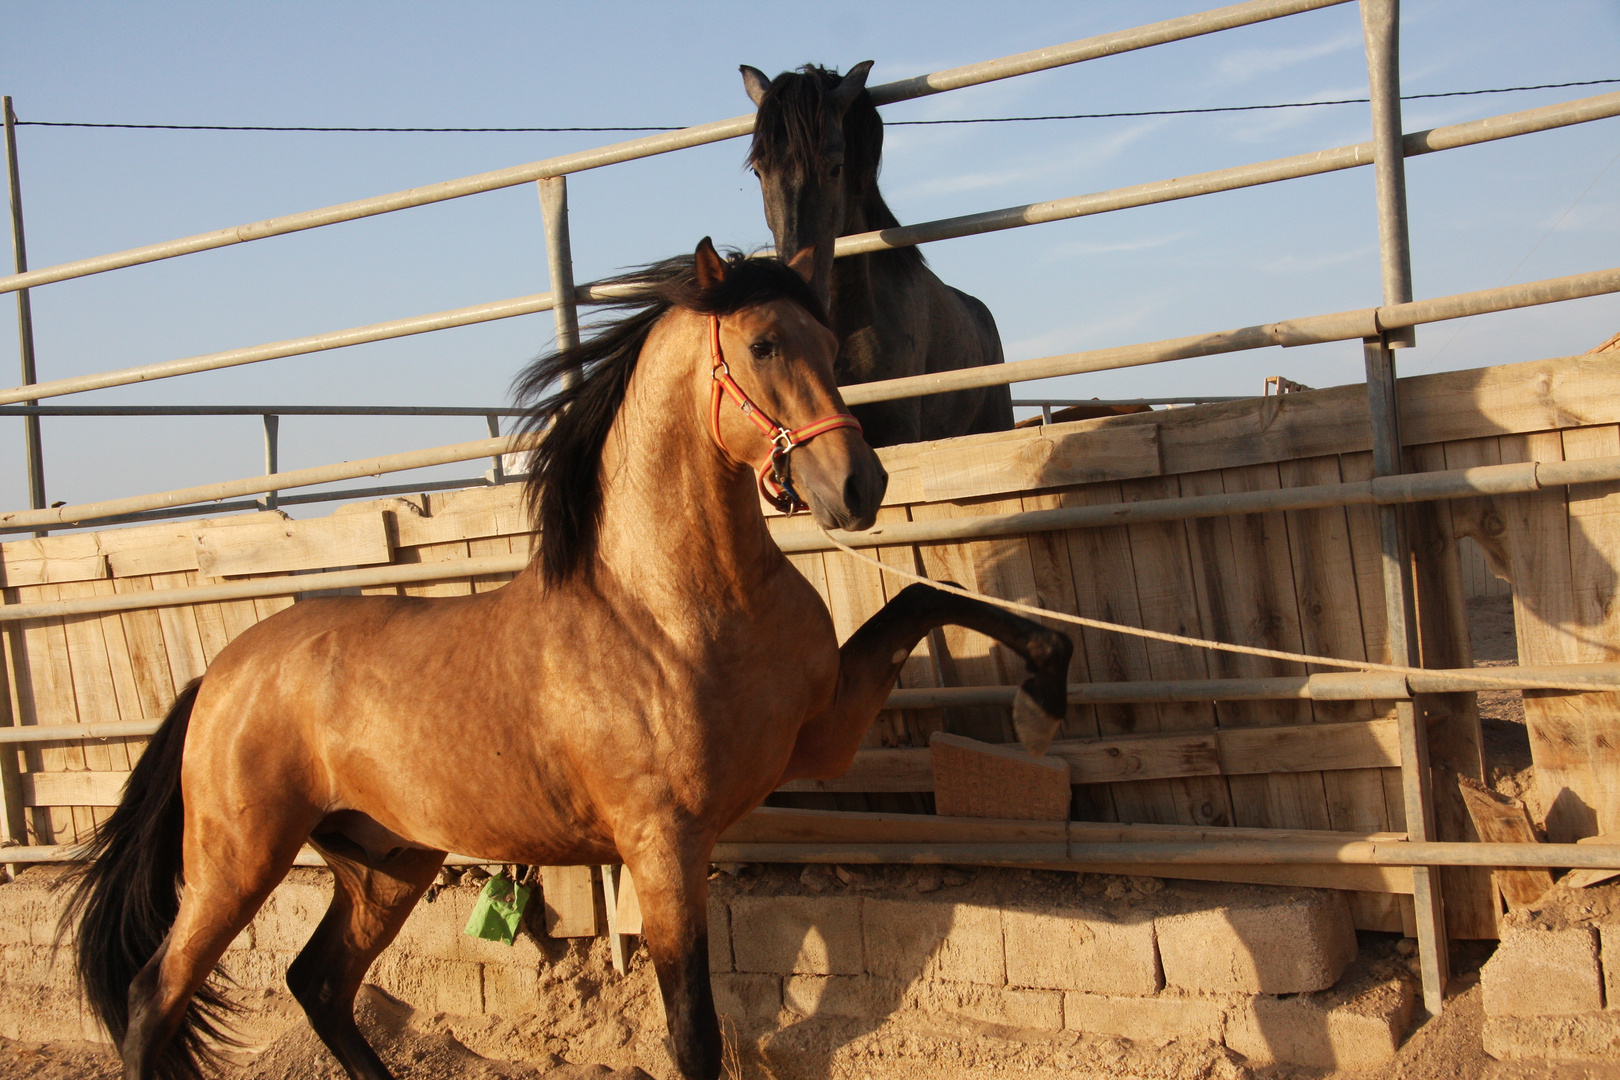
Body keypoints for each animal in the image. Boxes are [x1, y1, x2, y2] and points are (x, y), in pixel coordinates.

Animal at [66, 242, 1075, 1080]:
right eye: (761, 345)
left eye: (829, 342)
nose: (858, 486)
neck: (668, 613)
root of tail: (219, 677)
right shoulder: (664, 843)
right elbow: (694, 1037)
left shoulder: (819, 736)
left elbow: (924, 599)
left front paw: (1045, 693)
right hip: (238, 860)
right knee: (156, 998)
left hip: (389, 861)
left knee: (318, 984)